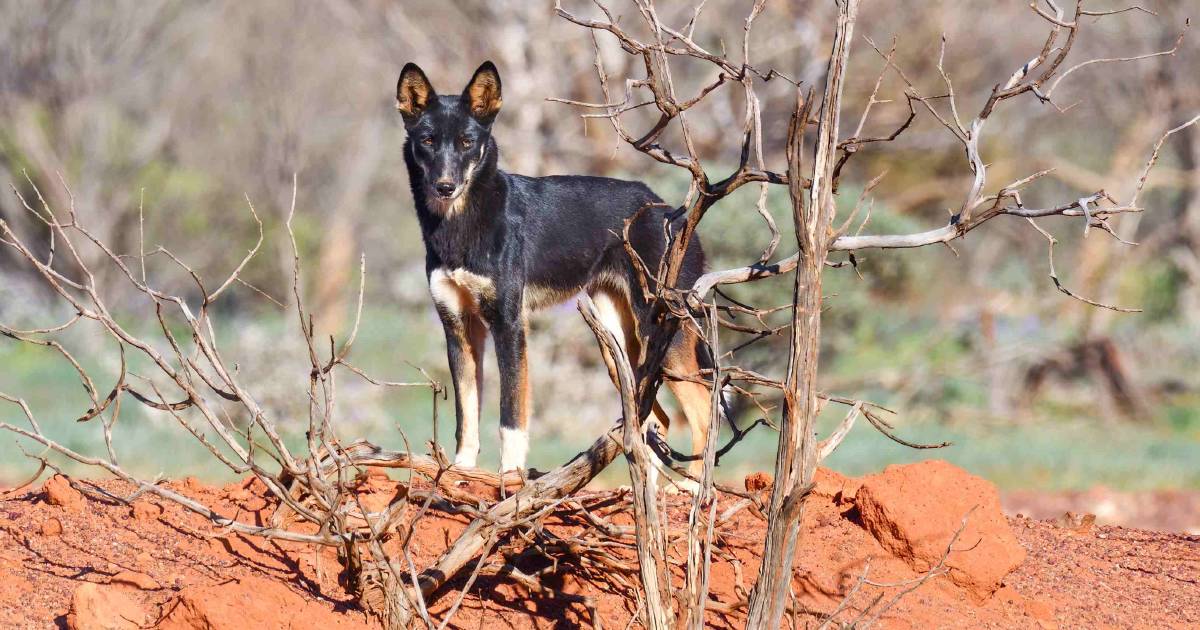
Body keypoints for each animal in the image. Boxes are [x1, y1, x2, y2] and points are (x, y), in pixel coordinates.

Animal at [396, 62, 710, 477]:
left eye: (466, 142)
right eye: (428, 140)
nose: (445, 187)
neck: (461, 227)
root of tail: (673, 213)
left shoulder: (510, 325)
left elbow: (511, 415)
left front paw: (510, 474)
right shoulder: (459, 327)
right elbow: (467, 414)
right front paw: (462, 469)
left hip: (662, 339)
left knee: (702, 411)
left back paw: (690, 487)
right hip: (619, 349)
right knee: (657, 419)